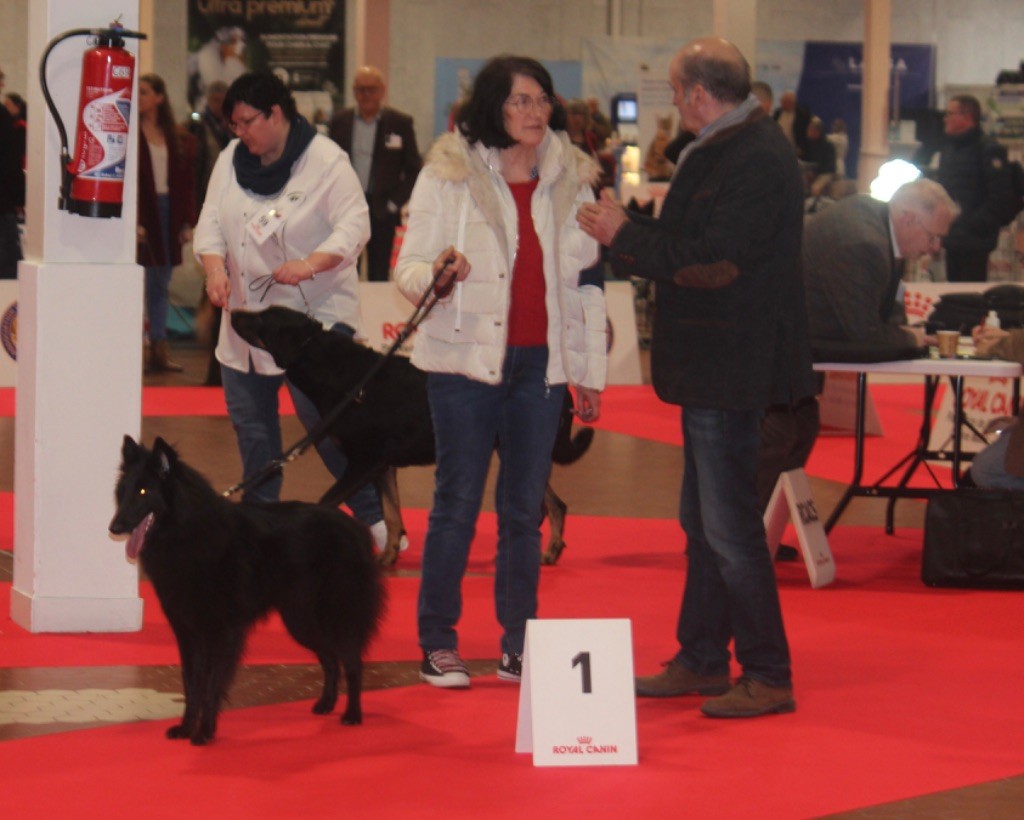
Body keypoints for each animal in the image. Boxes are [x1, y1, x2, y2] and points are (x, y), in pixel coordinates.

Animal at [109, 438, 385, 745]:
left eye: (143, 491)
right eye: (123, 491)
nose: (114, 527)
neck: (188, 531)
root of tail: (355, 528)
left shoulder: (221, 634)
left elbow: (211, 685)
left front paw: (204, 732)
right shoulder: (188, 634)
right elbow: (191, 684)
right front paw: (186, 727)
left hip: (336, 616)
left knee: (352, 661)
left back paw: (352, 714)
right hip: (300, 622)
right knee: (329, 658)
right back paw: (326, 703)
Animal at [231, 303, 593, 565]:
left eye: (262, 318)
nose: (233, 312)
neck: (345, 378)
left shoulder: (363, 462)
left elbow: (326, 502)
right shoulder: (381, 465)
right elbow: (392, 515)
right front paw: (387, 558)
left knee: (552, 505)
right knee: (552, 504)